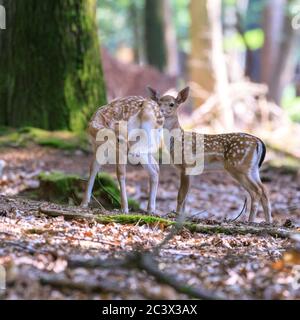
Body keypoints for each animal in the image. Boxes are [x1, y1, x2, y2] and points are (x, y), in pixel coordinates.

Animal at [147, 86, 272, 224]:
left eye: (171, 104)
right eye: (158, 103)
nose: (161, 111)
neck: (178, 140)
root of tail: (259, 142)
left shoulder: (186, 166)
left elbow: (180, 196)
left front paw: (176, 218)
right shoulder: (191, 171)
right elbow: (186, 196)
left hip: (239, 167)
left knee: (256, 191)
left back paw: (250, 221)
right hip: (252, 169)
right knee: (264, 190)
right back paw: (268, 222)